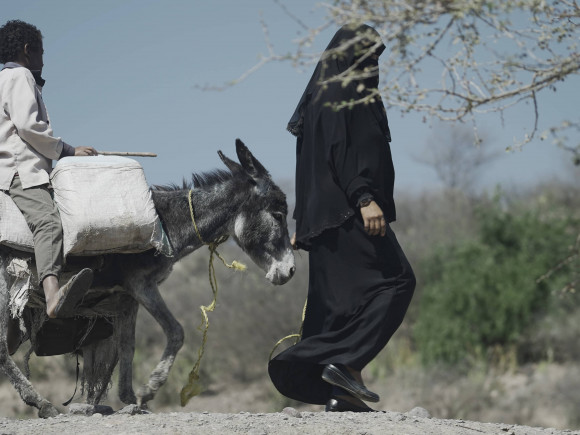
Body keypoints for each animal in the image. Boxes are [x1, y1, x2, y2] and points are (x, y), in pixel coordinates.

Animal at [0, 139, 296, 418]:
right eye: (279, 215)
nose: (291, 271)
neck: (164, 222)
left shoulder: (125, 296)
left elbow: (126, 346)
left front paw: (129, 398)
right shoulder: (142, 285)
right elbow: (176, 331)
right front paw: (150, 389)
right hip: (5, 288)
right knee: (2, 350)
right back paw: (40, 402)